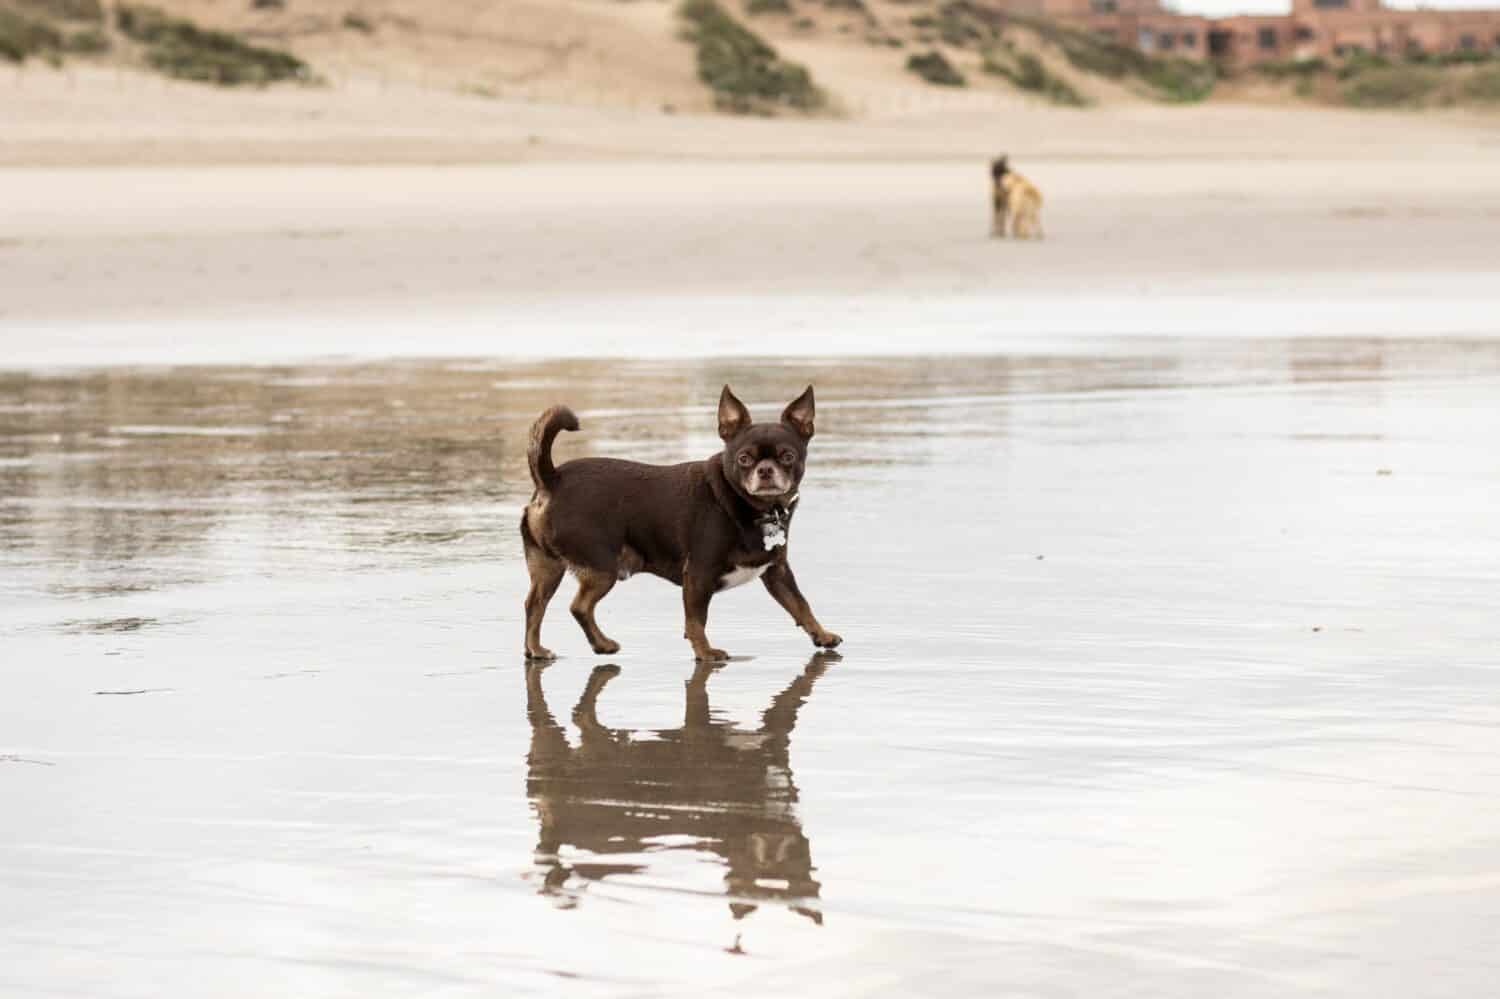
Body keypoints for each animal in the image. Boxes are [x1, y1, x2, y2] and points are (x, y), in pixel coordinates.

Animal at [522, 384, 840, 657]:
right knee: (579, 607)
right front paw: (705, 653)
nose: (764, 470)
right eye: (744, 459)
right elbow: (696, 619)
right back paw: (601, 644)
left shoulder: (778, 572)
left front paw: (821, 634)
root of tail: (552, 478)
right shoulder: (699, 575)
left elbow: (800, 604)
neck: (748, 505)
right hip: (602, 568)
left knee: (534, 605)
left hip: (548, 568)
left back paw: (537, 650)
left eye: (787, 456)